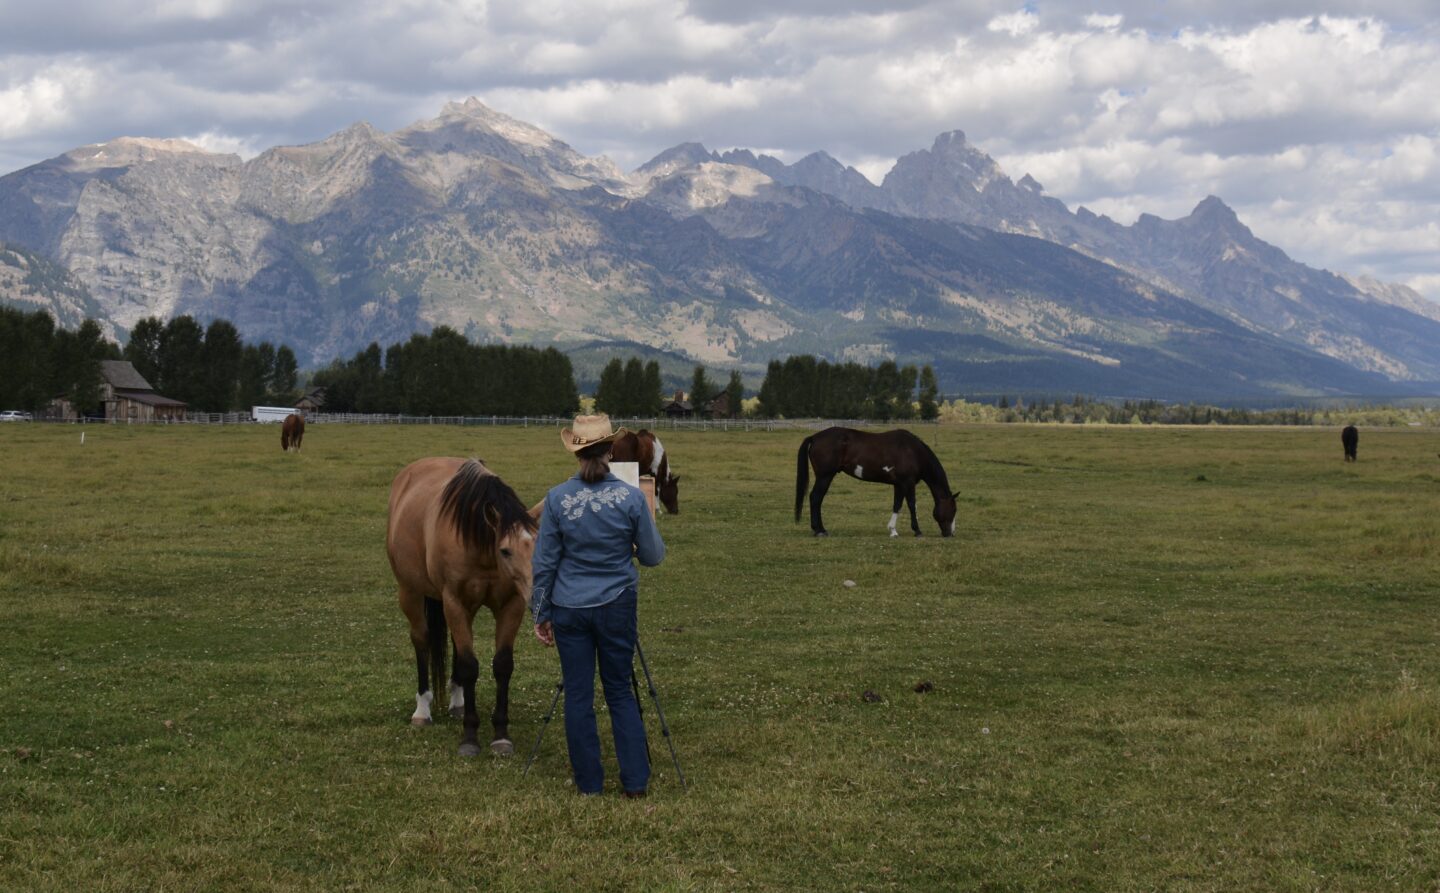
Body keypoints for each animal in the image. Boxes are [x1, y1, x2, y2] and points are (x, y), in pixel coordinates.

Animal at [385, 458, 541, 754]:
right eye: (505, 550)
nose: (536, 595)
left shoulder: (510, 604)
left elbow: (502, 664)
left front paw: (501, 735)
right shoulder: (454, 601)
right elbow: (469, 665)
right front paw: (470, 737)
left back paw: (458, 701)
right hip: (410, 592)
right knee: (421, 640)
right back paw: (422, 710)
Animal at [794, 426, 961, 535]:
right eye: (953, 510)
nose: (950, 534)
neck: (913, 452)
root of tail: (814, 437)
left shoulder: (899, 484)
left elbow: (897, 505)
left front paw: (893, 531)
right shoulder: (908, 483)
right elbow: (912, 505)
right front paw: (917, 531)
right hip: (825, 476)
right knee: (816, 498)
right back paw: (819, 530)